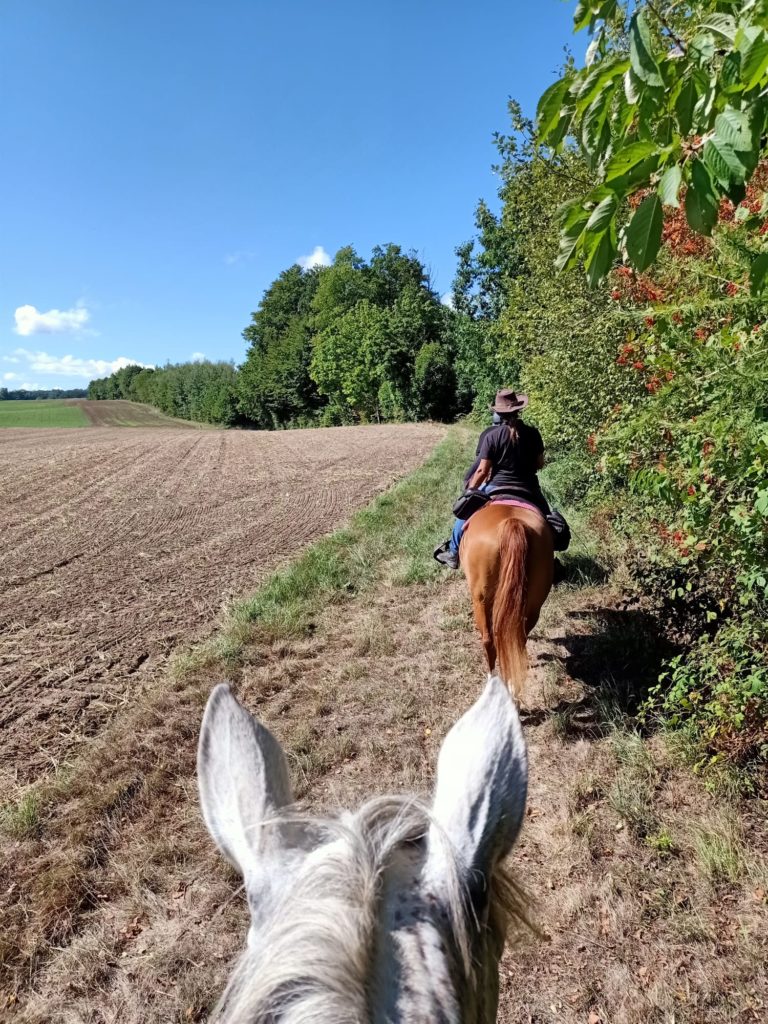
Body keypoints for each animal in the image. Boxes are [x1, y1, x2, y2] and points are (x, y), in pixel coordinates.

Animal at [459, 501, 554, 697]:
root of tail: (512, 523)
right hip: (534, 605)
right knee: (517, 639)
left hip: (481, 600)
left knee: (489, 641)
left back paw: (492, 682)